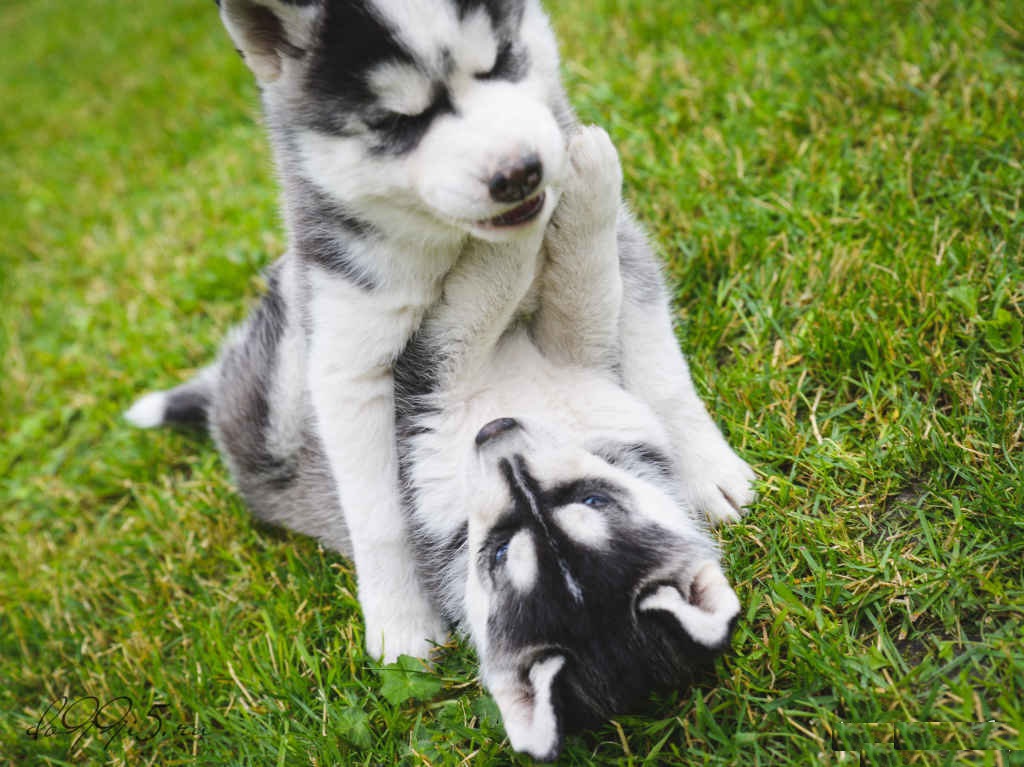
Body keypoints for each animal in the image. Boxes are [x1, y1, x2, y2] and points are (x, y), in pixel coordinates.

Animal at [125, 0, 753, 659]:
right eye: (397, 121)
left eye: (501, 62)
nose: (520, 174)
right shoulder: (354, 359)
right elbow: (378, 516)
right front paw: (400, 622)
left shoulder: (624, 262)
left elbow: (660, 371)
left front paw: (707, 471)